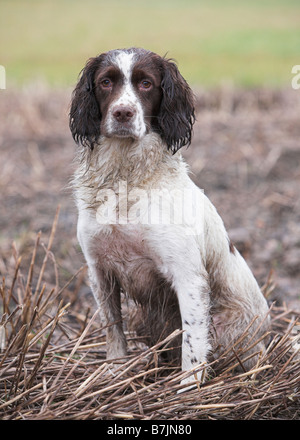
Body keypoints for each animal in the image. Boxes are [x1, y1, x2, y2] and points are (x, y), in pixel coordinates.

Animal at [69, 47, 270, 384]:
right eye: (106, 82)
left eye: (146, 83)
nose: (123, 113)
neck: (126, 180)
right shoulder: (99, 272)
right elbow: (113, 329)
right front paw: (114, 371)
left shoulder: (188, 276)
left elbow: (193, 342)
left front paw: (189, 387)